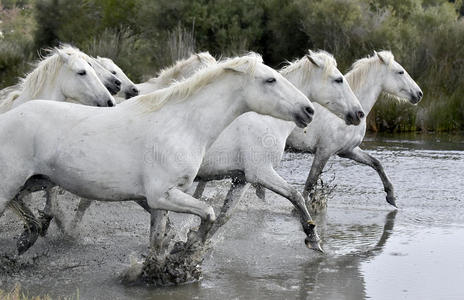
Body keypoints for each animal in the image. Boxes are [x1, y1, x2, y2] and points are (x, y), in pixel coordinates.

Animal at [0, 53, 316, 253]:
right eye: (270, 80)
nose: (309, 110)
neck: (182, 124)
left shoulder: (163, 200)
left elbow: (160, 236)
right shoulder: (161, 195)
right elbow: (209, 213)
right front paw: (188, 249)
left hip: (34, 182)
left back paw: (29, 236)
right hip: (9, 186)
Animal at [187, 50, 364, 252]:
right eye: (338, 80)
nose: (359, 114)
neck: (268, 119)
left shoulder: (241, 179)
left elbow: (224, 216)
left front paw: (194, 244)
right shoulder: (261, 173)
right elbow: (296, 196)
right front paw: (313, 238)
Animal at [286, 51, 420, 206]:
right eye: (400, 72)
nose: (419, 94)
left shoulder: (348, 150)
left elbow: (376, 163)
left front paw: (391, 196)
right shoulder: (324, 151)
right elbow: (310, 182)